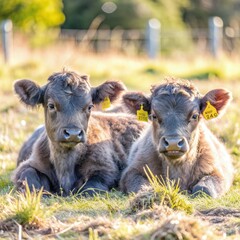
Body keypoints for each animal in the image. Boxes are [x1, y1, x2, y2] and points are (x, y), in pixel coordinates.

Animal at [12, 70, 146, 196]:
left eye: (90, 106)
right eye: (51, 105)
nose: (73, 133)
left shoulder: (106, 170)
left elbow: (91, 187)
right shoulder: (29, 164)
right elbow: (28, 175)